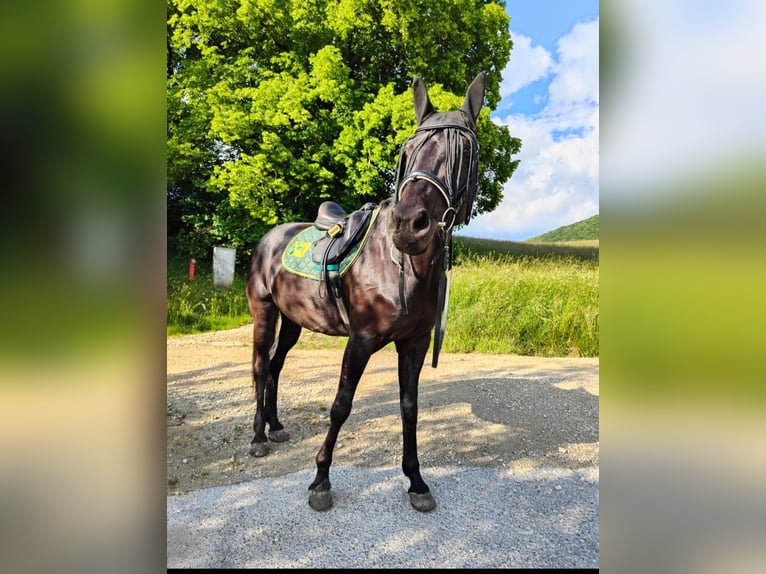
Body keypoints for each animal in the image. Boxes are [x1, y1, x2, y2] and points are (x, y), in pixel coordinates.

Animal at [245, 72, 486, 512]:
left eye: (464, 152)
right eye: (407, 151)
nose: (409, 224)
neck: (398, 265)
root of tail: (269, 238)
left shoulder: (414, 343)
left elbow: (410, 408)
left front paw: (416, 481)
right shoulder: (359, 341)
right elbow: (341, 406)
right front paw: (320, 480)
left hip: (293, 321)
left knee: (275, 365)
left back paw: (275, 425)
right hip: (264, 312)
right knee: (258, 366)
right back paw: (257, 436)